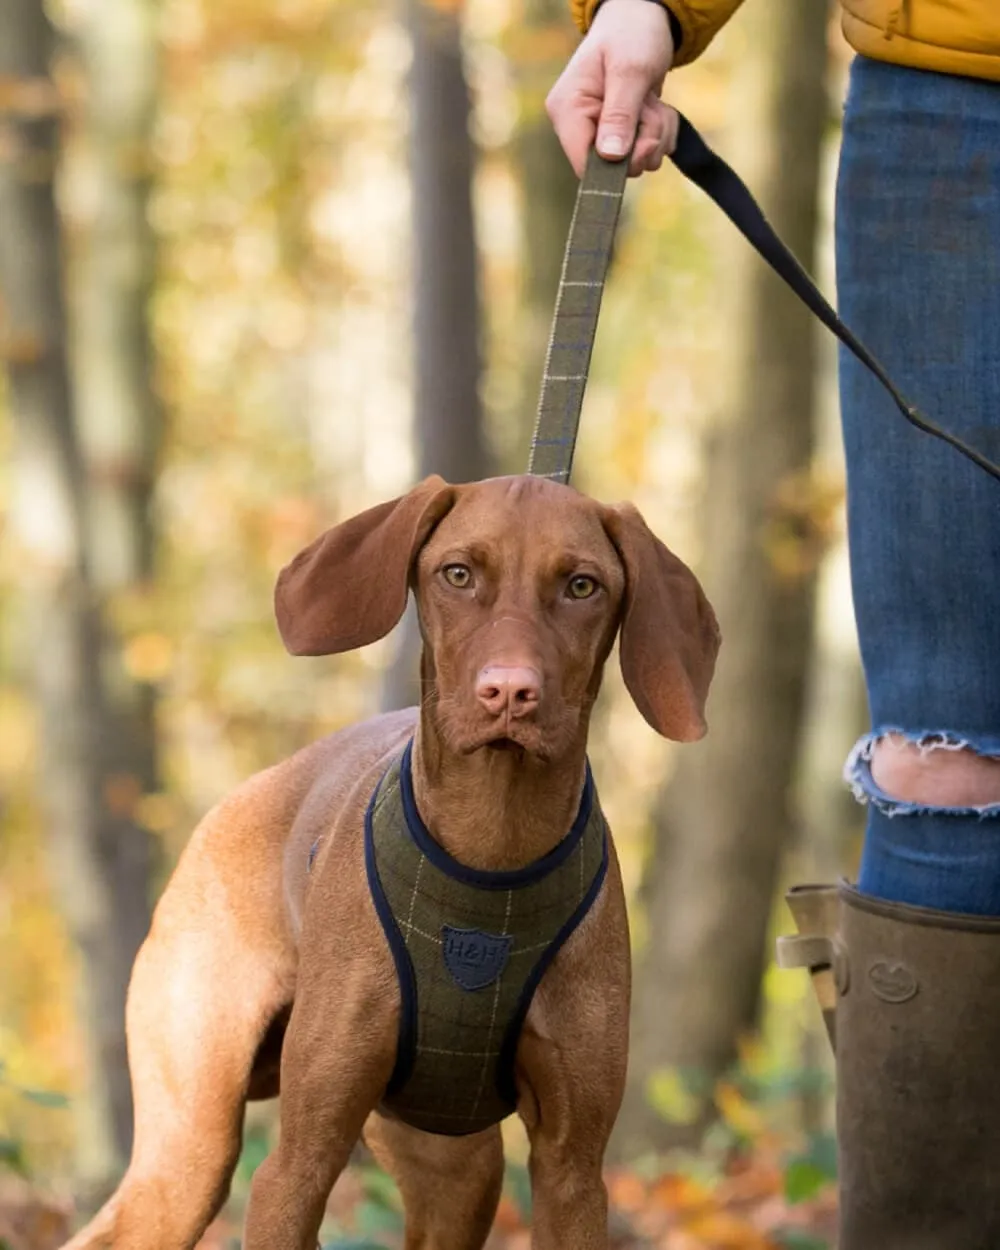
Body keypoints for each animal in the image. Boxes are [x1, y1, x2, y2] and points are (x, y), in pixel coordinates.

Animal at [62, 472, 715, 1245]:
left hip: (454, 1165)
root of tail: (230, 806)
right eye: (458, 574)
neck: (494, 844)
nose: (510, 692)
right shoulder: (297, 1162)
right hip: (190, 1149)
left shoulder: (573, 1172)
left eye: (582, 585)